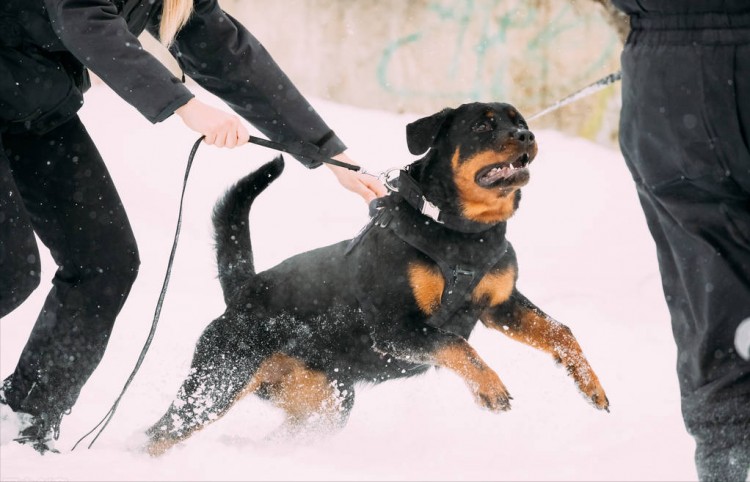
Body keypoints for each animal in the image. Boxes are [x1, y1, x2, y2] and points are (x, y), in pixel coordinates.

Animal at [147, 101, 612, 456]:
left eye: (520, 121)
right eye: (483, 125)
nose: (526, 136)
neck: (465, 233)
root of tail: (245, 288)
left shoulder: (501, 305)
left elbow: (561, 332)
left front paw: (591, 385)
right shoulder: (394, 327)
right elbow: (457, 345)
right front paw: (489, 388)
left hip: (328, 403)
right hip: (219, 380)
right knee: (159, 433)